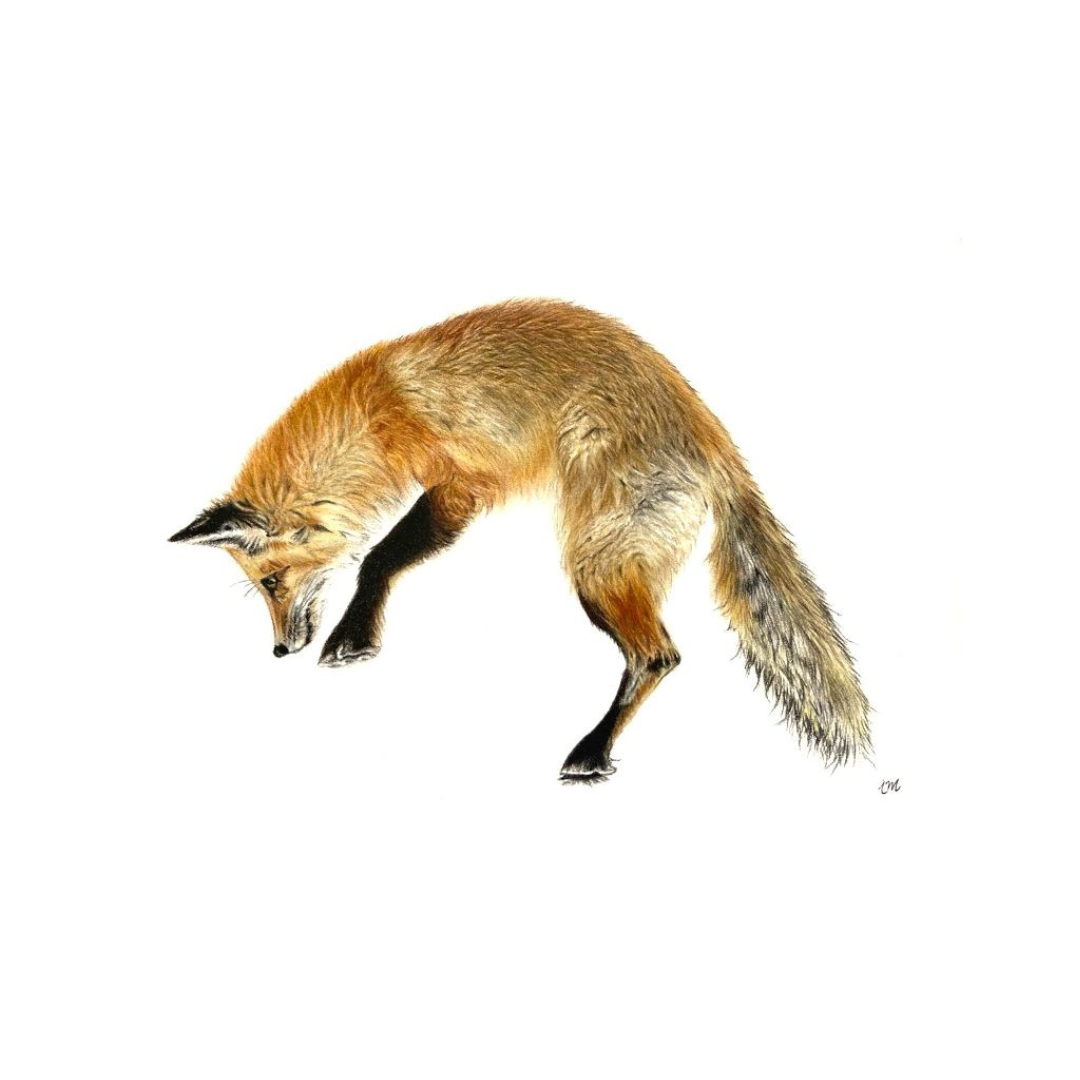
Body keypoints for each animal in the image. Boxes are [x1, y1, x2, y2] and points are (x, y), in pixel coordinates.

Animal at [170, 299, 870, 783]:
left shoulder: (460, 485)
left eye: (270, 583)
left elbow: (378, 558)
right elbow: (380, 557)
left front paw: (352, 637)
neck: (373, 415)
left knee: (659, 656)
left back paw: (591, 753)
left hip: (595, 566)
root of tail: (713, 437)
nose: (278, 652)